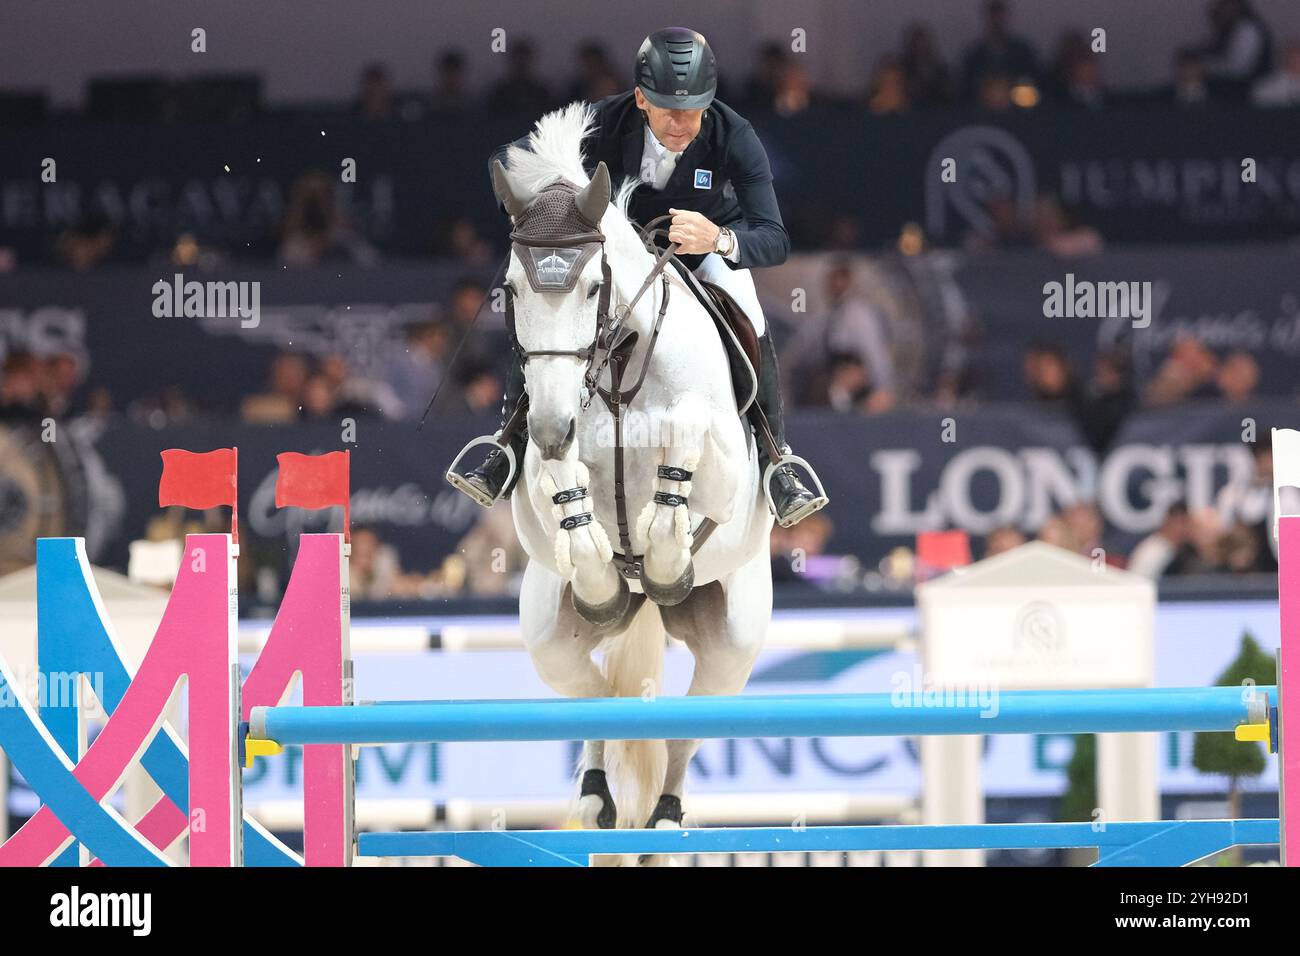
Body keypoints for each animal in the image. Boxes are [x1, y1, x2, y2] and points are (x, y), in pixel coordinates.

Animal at [496, 102, 769, 842]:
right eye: (510, 291)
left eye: (593, 286)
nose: (552, 424)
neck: (618, 366)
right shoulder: (537, 492)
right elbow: (566, 500)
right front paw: (602, 570)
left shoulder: (726, 475)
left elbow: (686, 437)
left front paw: (662, 554)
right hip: (548, 634)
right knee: (598, 702)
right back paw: (597, 794)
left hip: (733, 640)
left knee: (685, 728)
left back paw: (667, 814)